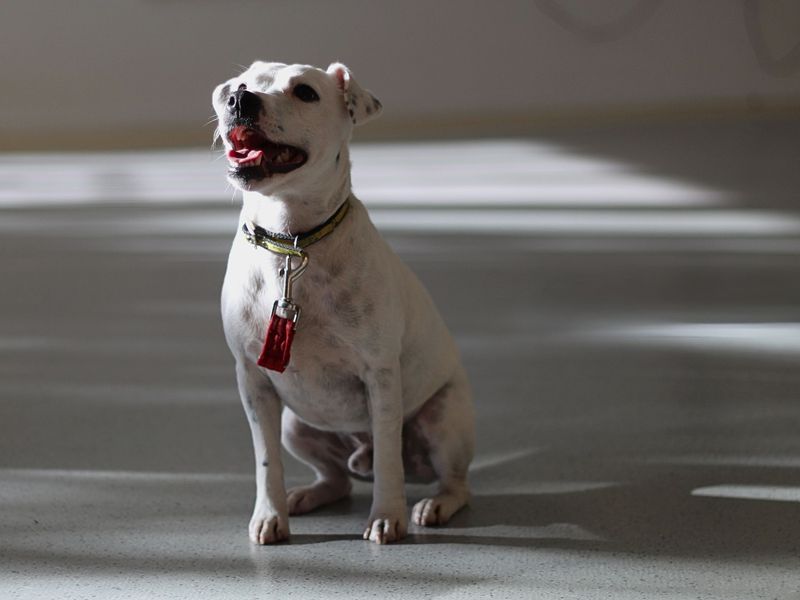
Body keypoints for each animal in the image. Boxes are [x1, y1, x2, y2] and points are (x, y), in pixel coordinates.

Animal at [212, 61, 476, 544]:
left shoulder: (381, 379)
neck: (292, 243)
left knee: (455, 482)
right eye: (240, 86)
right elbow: (266, 461)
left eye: (305, 92)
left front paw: (386, 516)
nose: (240, 100)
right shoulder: (253, 384)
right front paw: (270, 514)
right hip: (297, 427)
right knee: (336, 479)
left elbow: (389, 458)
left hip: (442, 419)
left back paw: (435, 504)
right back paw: (308, 495)